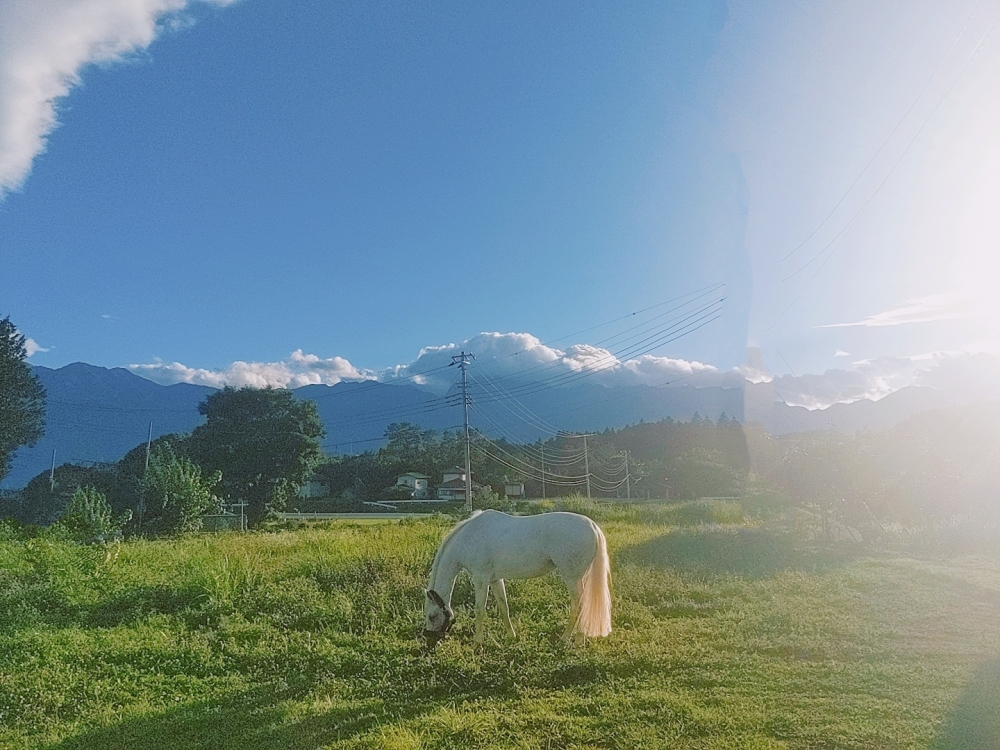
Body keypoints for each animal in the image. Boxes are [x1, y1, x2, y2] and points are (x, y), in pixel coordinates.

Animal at [422, 509, 611, 648]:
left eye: (431, 616)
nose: (430, 642)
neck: (470, 537)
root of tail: (593, 526)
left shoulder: (481, 579)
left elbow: (479, 610)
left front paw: (477, 642)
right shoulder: (495, 580)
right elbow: (503, 607)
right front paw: (511, 636)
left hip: (572, 578)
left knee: (579, 606)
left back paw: (569, 639)